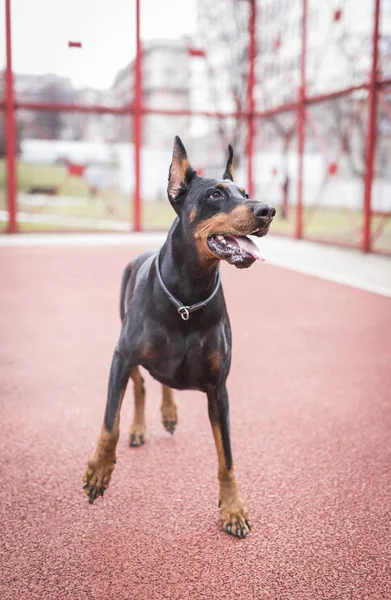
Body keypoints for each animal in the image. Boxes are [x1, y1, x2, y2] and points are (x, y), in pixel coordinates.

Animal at [82, 137, 276, 540]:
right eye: (215, 194)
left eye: (245, 192)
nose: (268, 210)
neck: (188, 295)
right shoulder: (120, 357)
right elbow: (109, 422)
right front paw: (99, 470)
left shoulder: (219, 388)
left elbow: (226, 457)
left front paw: (233, 508)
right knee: (141, 386)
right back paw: (139, 428)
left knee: (161, 382)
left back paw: (168, 412)